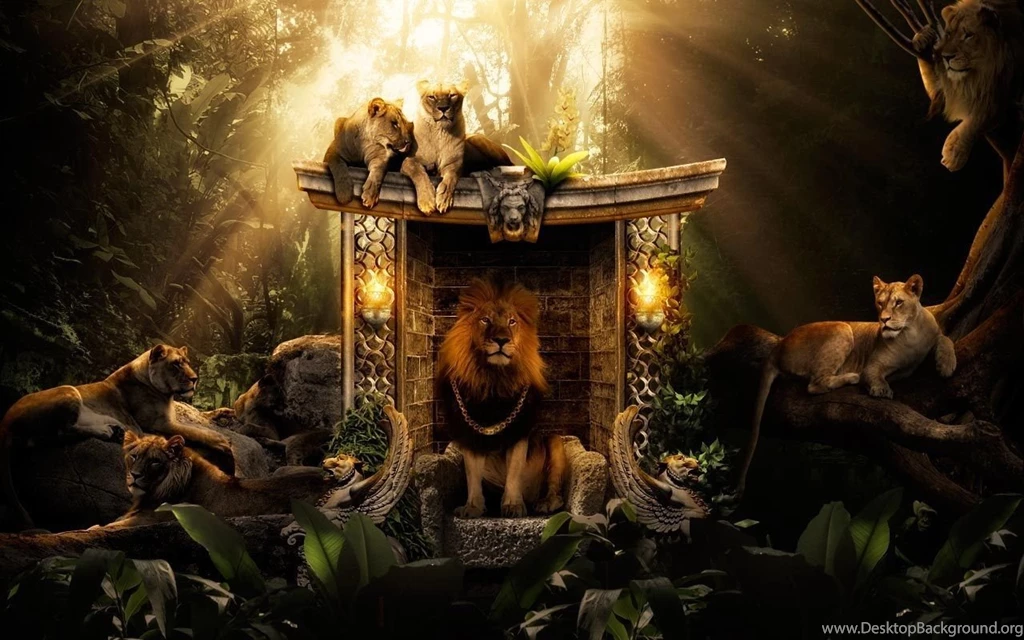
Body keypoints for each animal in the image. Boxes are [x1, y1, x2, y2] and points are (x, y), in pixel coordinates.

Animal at [0, 345, 233, 529]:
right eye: (176, 364)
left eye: (187, 363)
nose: (194, 380)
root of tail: (4, 423)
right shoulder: (157, 424)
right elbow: (197, 431)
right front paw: (224, 443)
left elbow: (199, 417)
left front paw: (224, 412)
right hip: (68, 391)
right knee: (62, 430)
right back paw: (109, 431)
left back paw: (113, 428)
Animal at [436, 277, 566, 518]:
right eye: (485, 320)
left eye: (512, 322)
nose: (501, 340)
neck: (493, 380)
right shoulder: (470, 435)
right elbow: (472, 475)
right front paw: (473, 507)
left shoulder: (518, 431)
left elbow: (514, 471)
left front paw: (513, 505)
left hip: (555, 441)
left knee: (555, 490)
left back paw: (546, 503)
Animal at [737, 275, 957, 495]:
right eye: (880, 303)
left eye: (899, 303)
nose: (884, 320)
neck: (910, 333)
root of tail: (779, 345)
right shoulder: (873, 365)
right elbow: (873, 375)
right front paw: (880, 389)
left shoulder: (932, 337)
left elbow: (945, 339)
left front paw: (947, 365)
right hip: (842, 328)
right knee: (815, 384)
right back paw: (852, 377)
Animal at [912, 0, 1024, 171]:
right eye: (949, 34)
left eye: (968, 35)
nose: (946, 57)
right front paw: (923, 38)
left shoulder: (1003, 93)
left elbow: (981, 115)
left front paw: (954, 152)